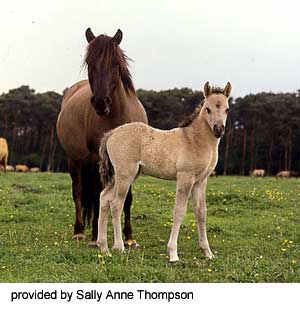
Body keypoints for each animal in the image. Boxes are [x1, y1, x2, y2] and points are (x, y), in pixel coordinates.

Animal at [97, 81, 231, 262]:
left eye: (227, 109)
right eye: (208, 109)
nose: (218, 129)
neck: (194, 140)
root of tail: (111, 133)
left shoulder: (200, 181)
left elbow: (201, 213)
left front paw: (207, 252)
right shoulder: (185, 177)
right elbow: (179, 211)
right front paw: (173, 253)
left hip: (120, 176)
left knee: (104, 198)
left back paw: (103, 247)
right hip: (125, 175)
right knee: (116, 204)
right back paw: (119, 246)